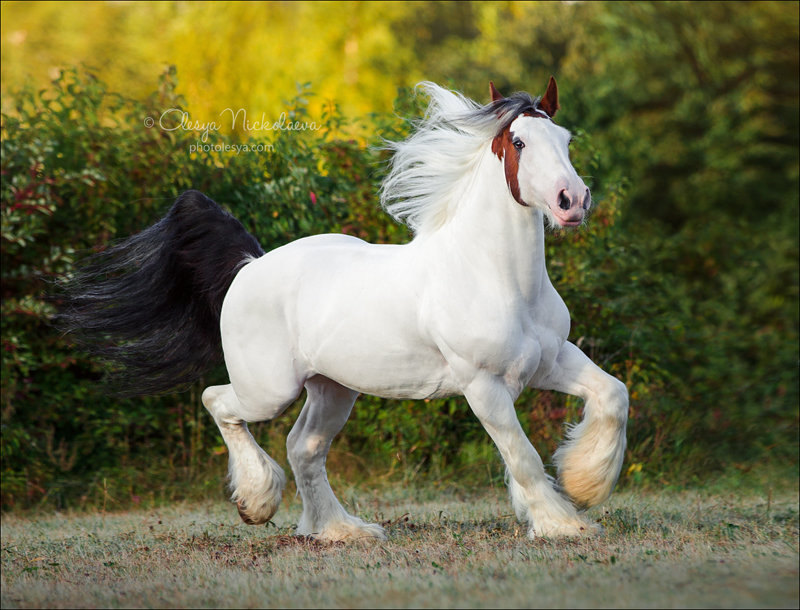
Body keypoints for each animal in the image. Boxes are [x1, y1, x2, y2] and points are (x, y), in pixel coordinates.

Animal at [59, 78, 628, 540]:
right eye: (519, 142)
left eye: (566, 141)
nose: (572, 201)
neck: (496, 277)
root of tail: (248, 267)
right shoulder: (483, 386)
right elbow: (523, 455)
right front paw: (564, 523)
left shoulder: (550, 362)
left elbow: (612, 396)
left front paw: (584, 485)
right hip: (269, 389)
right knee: (217, 401)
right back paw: (256, 502)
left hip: (332, 388)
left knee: (304, 447)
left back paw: (338, 531)